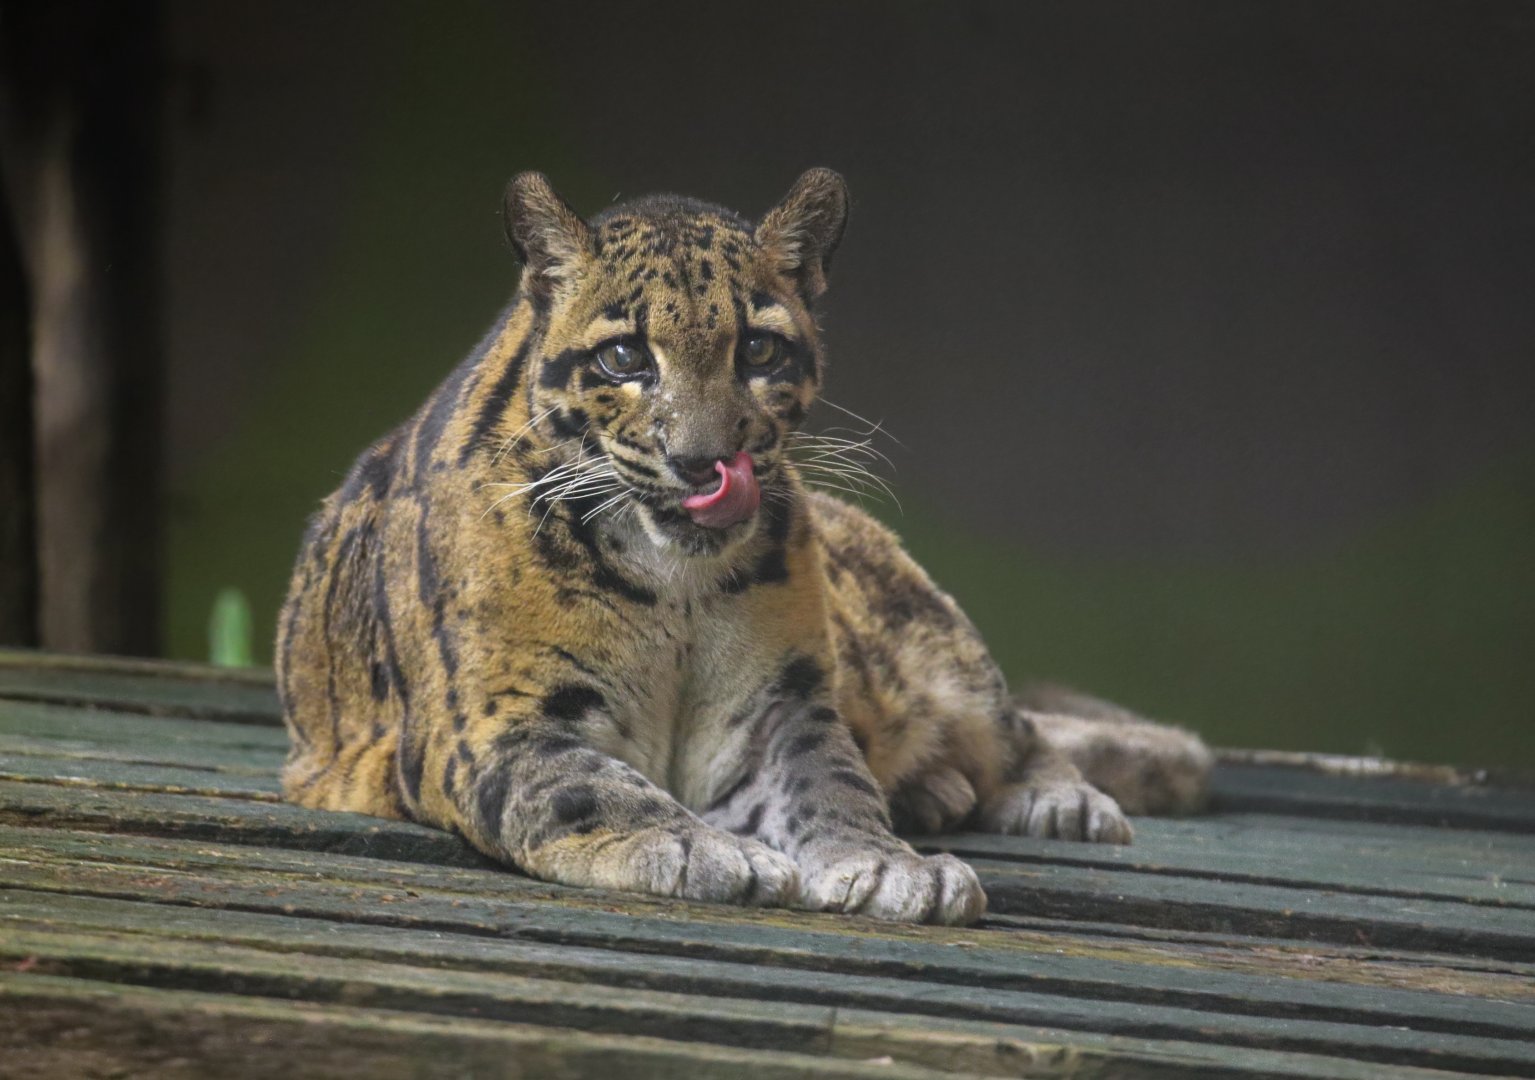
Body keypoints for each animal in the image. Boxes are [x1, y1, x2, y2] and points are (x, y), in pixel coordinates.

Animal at [277, 168, 1212, 926]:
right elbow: (595, 788)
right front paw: (707, 850)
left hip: (937, 638)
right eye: (625, 357)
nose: (703, 462)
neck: (669, 583)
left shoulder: (777, 705)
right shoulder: (494, 725)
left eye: (757, 348)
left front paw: (884, 865)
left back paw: (1055, 802)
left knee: (1015, 726)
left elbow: (828, 781)